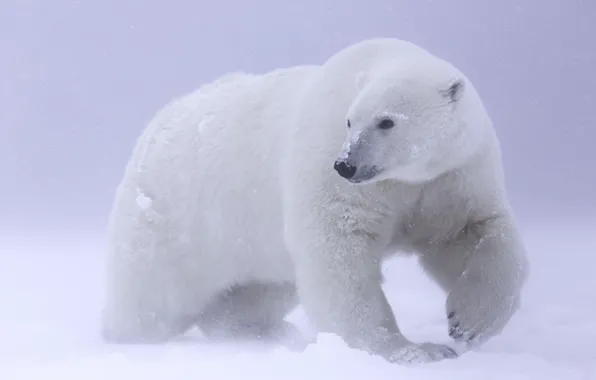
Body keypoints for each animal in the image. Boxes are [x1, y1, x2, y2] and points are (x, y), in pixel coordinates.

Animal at [100, 38, 528, 366]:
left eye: (387, 121)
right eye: (350, 121)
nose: (346, 165)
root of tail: (154, 127)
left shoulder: (450, 178)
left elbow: (471, 234)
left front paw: (468, 322)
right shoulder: (333, 170)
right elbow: (339, 255)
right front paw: (414, 351)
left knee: (259, 290)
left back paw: (264, 329)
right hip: (176, 218)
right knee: (153, 297)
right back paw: (126, 336)